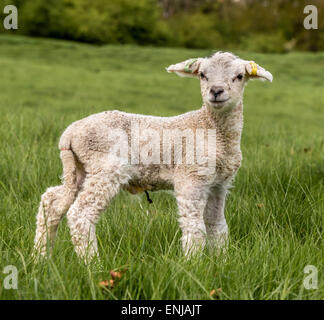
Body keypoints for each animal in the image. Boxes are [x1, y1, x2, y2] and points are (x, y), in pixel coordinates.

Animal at [33, 51, 272, 262]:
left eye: (239, 76)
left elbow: (217, 226)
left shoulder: (219, 184)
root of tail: (69, 135)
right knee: (80, 213)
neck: (211, 129)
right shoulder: (191, 178)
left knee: (52, 201)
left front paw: (220, 261)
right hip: (106, 167)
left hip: (79, 168)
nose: (216, 91)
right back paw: (91, 265)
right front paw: (191, 264)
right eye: (203, 75)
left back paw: (41, 258)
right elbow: (195, 229)